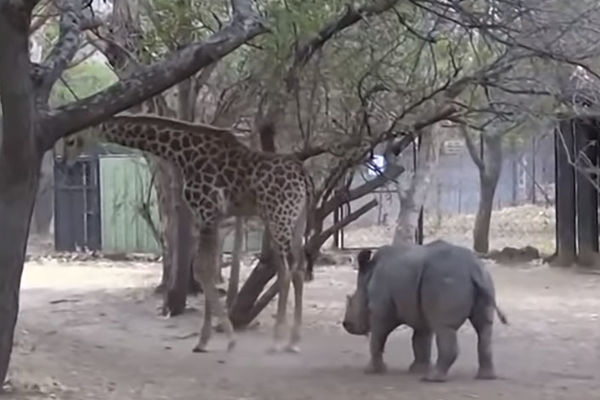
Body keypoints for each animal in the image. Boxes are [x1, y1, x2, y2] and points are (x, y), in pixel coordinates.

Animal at [63, 113, 312, 354]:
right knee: (298, 268)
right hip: (296, 220)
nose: (65, 163)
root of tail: (304, 175)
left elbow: (202, 270)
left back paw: (278, 341)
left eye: (71, 140)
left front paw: (221, 340)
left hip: (280, 217)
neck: (183, 153)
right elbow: (208, 270)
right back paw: (293, 341)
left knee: (286, 269)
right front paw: (206, 340)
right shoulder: (215, 218)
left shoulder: (207, 213)